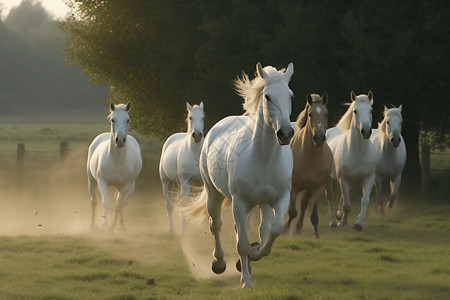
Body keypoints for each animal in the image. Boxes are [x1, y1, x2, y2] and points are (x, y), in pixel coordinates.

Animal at [86, 103, 142, 232]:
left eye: (128, 120)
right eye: (113, 119)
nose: (120, 140)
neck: (117, 160)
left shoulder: (125, 186)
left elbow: (118, 205)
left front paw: (113, 226)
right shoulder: (102, 182)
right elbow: (105, 203)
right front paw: (104, 226)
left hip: (128, 187)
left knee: (121, 203)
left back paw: (121, 225)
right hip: (92, 181)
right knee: (94, 201)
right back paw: (92, 225)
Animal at [159, 102, 205, 233]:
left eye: (203, 117)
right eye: (190, 117)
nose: (197, 135)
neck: (194, 153)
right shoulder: (185, 182)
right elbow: (185, 204)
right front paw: (184, 230)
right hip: (166, 182)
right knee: (169, 205)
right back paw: (172, 229)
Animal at [184, 62, 294, 288]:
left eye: (290, 95)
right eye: (268, 96)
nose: (285, 133)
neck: (264, 158)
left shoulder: (281, 199)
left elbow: (274, 229)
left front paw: (255, 253)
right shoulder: (239, 202)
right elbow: (242, 243)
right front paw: (246, 281)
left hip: (261, 204)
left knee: (259, 228)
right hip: (214, 195)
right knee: (216, 225)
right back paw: (219, 263)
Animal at [286, 92, 336, 238]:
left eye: (326, 114)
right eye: (310, 114)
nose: (318, 138)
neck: (309, 157)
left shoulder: (317, 188)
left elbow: (313, 214)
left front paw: (316, 235)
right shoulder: (293, 187)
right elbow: (292, 212)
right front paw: (285, 230)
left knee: (304, 204)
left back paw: (298, 228)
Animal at [326, 91, 378, 232]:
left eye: (371, 110)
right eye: (355, 111)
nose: (366, 131)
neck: (358, 152)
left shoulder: (368, 178)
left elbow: (364, 200)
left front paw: (358, 224)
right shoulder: (343, 179)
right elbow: (347, 205)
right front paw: (342, 222)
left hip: (353, 181)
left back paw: (338, 216)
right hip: (330, 179)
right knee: (330, 197)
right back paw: (334, 222)